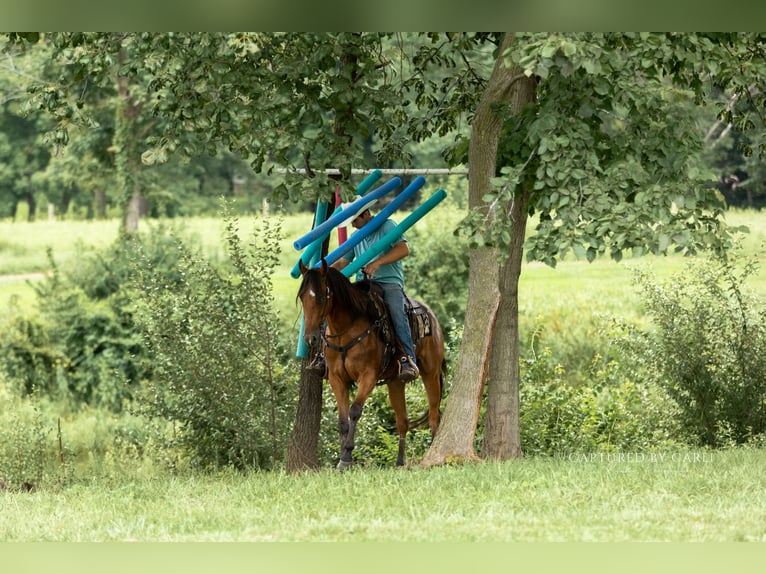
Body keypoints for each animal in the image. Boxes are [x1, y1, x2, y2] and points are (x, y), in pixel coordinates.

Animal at [298, 260, 445, 470]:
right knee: (402, 421)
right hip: (395, 382)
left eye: (320, 297)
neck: (346, 329)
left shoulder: (368, 376)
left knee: (433, 416)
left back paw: (432, 454)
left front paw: (347, 456)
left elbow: (354, 411)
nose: (310, 338)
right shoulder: (337, 378)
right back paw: (399, 462)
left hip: (431, 373)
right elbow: (342, 421)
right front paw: (342, 457)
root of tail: (431, 315)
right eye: (302, 297)